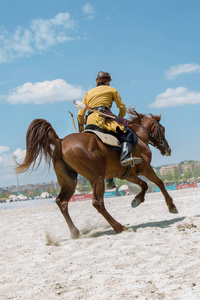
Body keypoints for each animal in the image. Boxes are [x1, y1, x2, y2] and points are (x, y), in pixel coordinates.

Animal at [16, 109, 178, 238]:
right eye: (162, 129)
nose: (168, 150)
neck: (139, 138)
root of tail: (60, 141)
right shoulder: (146, 168)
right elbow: (159, 183)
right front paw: (171, 206)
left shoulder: (128, 174)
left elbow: (144, 185)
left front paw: (137, 200)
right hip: (97, 178)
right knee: (97, 203)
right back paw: (119, 227)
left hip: (70, 182)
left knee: (61, 202)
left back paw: (75, 232)